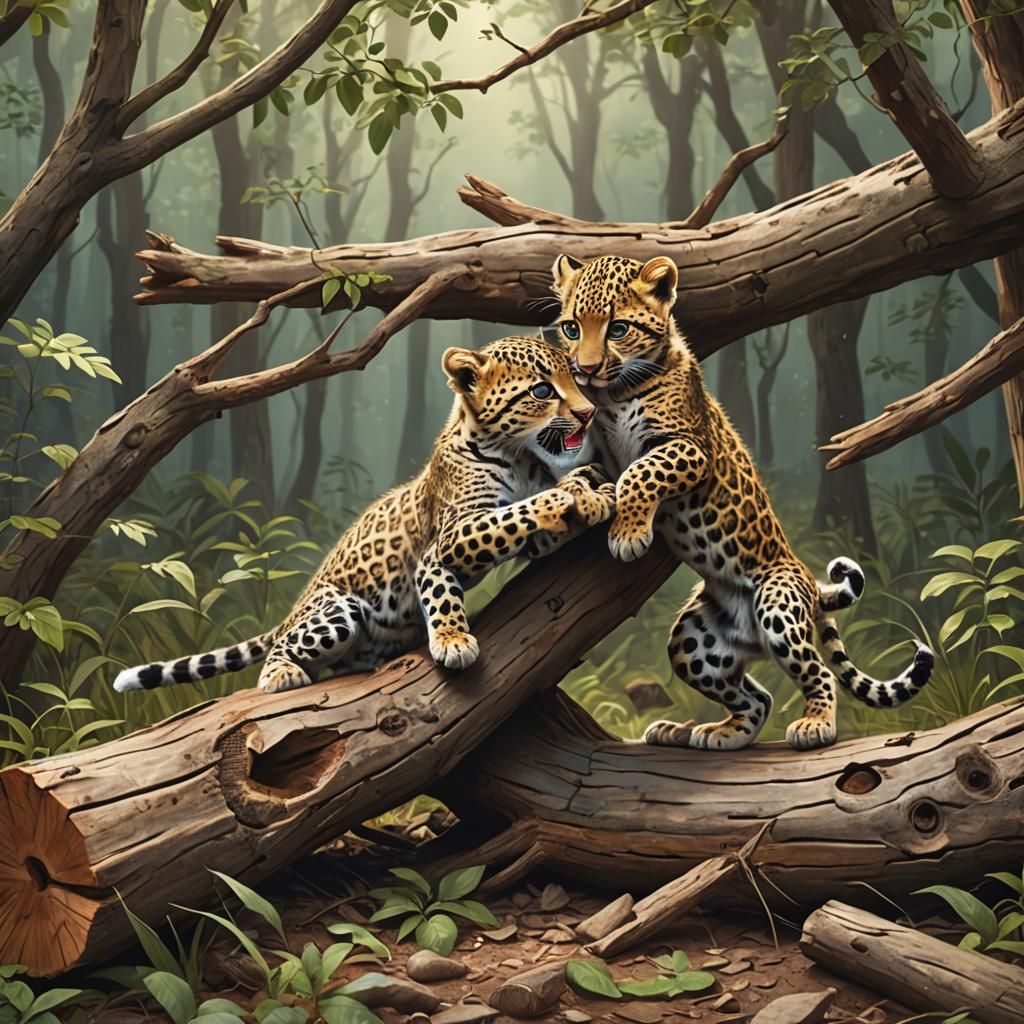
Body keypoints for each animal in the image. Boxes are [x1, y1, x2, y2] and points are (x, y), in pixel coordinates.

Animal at [113, 335, 615, 695]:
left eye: (576, 379)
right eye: (542, 390)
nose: (589, 413)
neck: (521, 457)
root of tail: (293, 608)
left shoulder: (525, 536)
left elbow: (532, 517)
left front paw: (590, 493)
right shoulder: (449, 540)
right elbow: (501, 529)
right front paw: (453, 641)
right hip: (337, 609)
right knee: (280, 651)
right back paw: (281, 674)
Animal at [550, 252, 933, 751]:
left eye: (617, 329)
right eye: (571, 328)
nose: (585, 368)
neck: (611, 394)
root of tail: (809, 582)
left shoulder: (690, 449)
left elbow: (641, 472)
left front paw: (629, 535)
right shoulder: (603, 455)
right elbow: (586, 474)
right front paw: (580, 499)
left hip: (777, 603)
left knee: (820, 673)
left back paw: (815, 725)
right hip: (693, 641)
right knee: (758, 697)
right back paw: (711, 731)